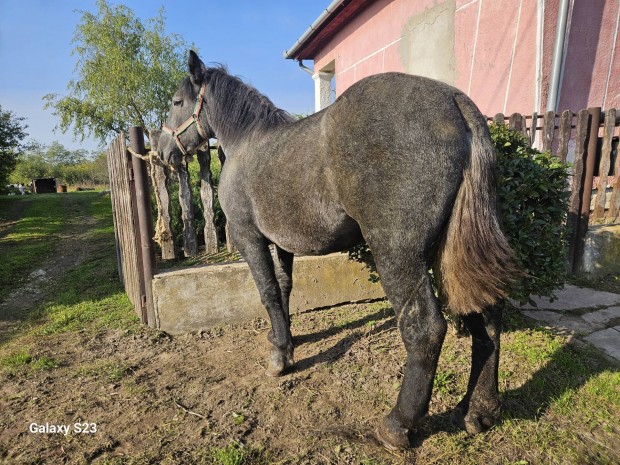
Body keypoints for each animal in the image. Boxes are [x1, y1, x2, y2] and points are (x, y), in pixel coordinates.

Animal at [157, 51, 516, 450]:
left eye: (176, 102)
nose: (162, 152)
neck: (247, 142)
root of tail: (456, 103)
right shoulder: (283, 244)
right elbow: (284, 290)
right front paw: (284, 340)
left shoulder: (249, 238)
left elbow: (268, 292)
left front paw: (279, 359)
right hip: (455, 252)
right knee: (486, 318)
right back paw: (478, 410)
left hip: (398, 254)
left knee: (425, 327)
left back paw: (397, 425)